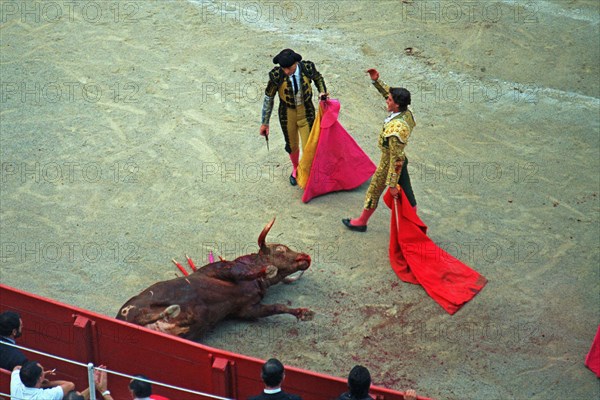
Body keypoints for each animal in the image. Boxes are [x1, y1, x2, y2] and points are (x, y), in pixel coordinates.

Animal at [116, 219, 314, 340]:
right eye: (281, 249)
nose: (306, 257)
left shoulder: (248, 310)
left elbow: (276, 307)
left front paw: (303, 313)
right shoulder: (223, 270)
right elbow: (242, 272)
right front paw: (269, 269)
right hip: (134, 310)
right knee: (147, 314)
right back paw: (171, 311)